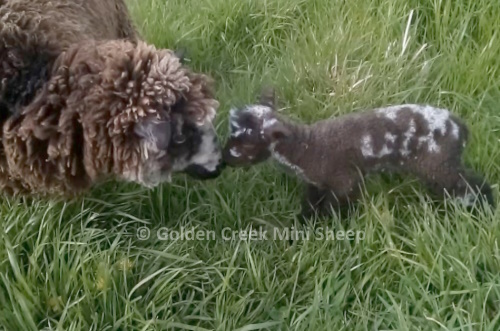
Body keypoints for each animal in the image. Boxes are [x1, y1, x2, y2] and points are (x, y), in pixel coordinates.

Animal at [225, 89, 494, 219]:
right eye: (230, 133)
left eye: (246, 145)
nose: (224, 160)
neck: (307, 148)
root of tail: (461, 128)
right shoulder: (316, 182)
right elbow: (310, 204)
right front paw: (304, 223)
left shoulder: (346, 180)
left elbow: (333, 207)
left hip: (438, 164)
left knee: (474, 185)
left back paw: (485, 210)